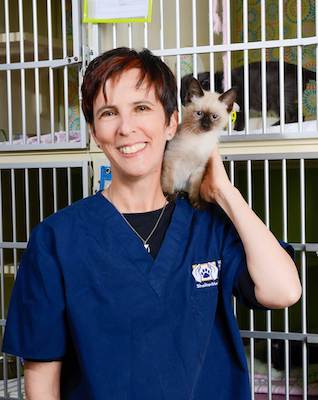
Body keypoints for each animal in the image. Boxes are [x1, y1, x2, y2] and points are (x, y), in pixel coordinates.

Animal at [161, 78, 236, 209]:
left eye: (214, 117)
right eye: (199, 114)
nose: (205, 125)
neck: (199, 139)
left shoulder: (199, 169)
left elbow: (195, 189)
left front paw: (196, 203)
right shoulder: (170, 160)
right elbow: (168, 181)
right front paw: (168, 196)